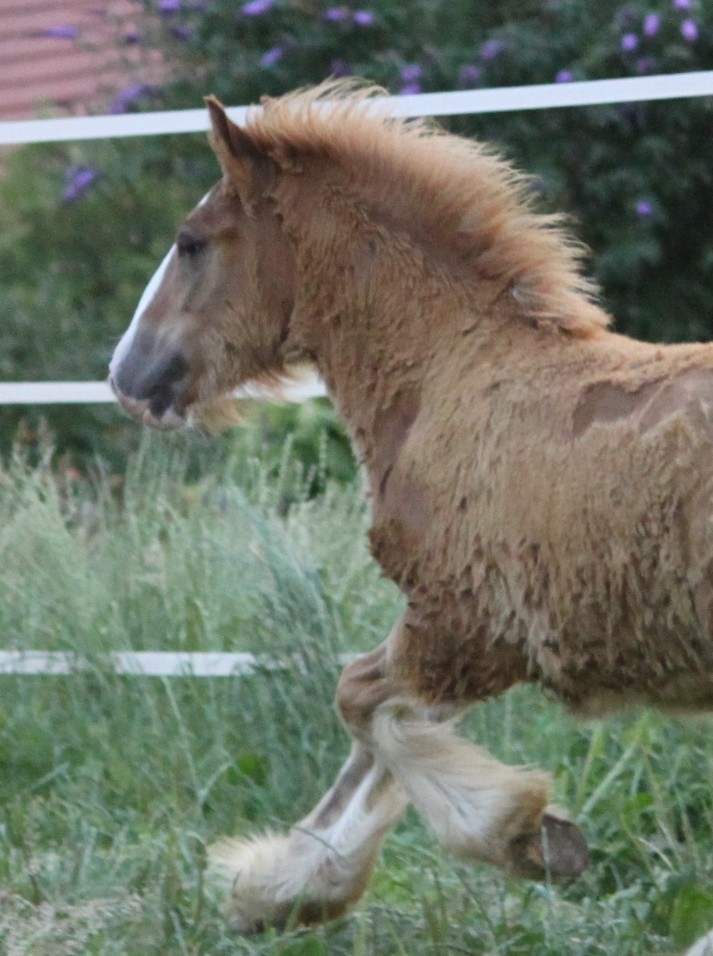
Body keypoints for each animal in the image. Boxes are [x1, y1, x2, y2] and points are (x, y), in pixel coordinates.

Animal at [108, 80, 712, 932]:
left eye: (190, 243)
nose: (125, 374)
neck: (451, 373)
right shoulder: (455, 635)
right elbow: (377, 727)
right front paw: (280, 885)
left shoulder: (462, 626)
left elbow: (362, 704)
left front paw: (527, 834)